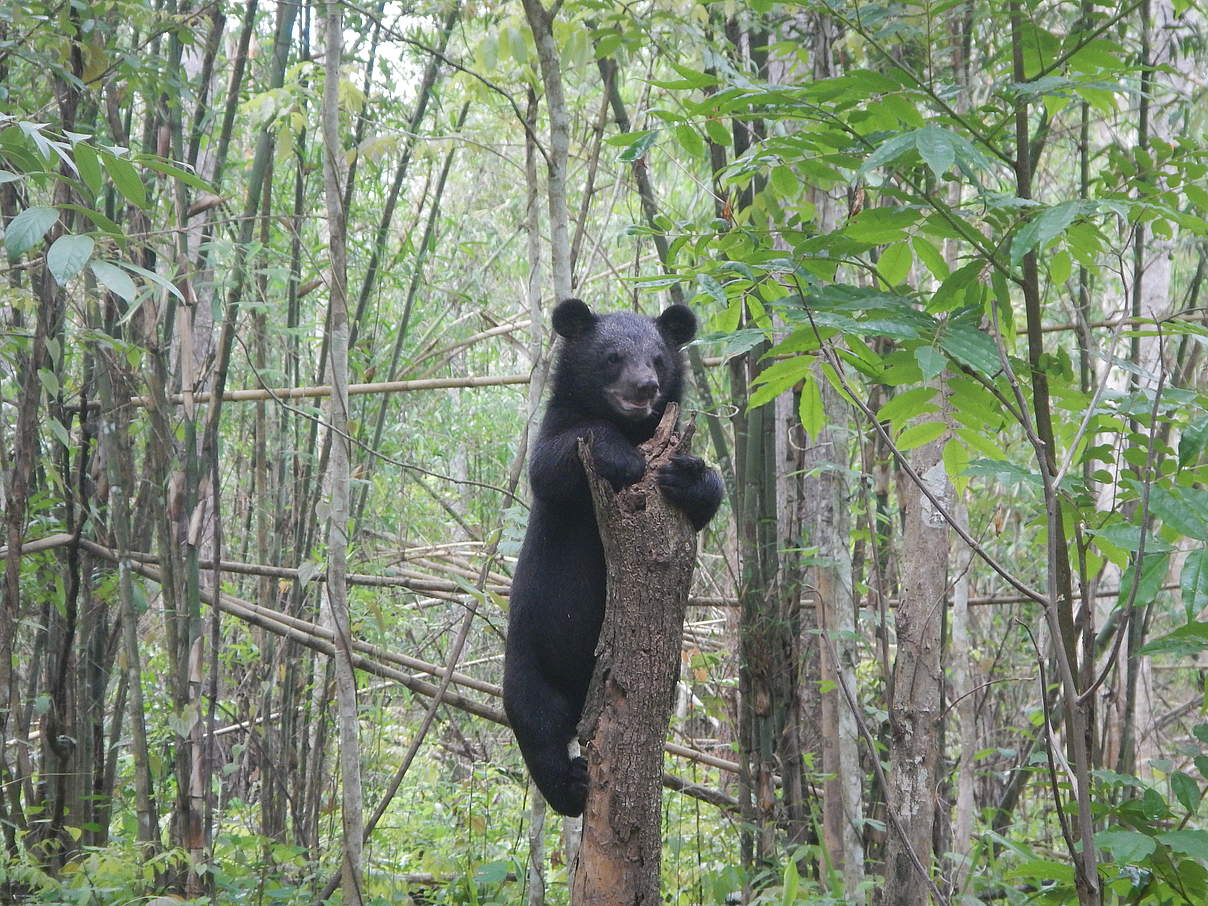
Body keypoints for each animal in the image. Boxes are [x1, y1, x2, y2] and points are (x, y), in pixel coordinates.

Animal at [502, 295, 719, 816]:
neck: (633, 425)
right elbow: (552, 463)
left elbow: (708, 497)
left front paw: (687, 476)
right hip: (529, 664)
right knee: (537, 727)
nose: (646, 386)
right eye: (612, 358)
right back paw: (572, 787)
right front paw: (626, 460)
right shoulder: (558, 435)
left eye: (658, 359)